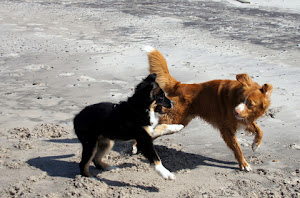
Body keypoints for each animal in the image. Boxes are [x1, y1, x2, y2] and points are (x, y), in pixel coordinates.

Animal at [144, 46, 274, 172]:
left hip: (181, 122)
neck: (234, 97)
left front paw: (255, 145)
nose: (235, 111)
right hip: (173, 119)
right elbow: (237, 147)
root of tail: (180, 85)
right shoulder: (226, 129)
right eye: (241, 100)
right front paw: (244, 164)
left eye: (250, 104)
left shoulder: (244, 119)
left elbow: (259, 130)